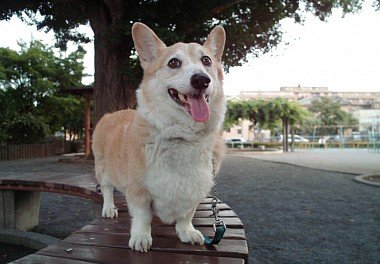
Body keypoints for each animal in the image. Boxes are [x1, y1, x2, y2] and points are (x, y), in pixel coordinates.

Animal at [92, 22, 226, 252]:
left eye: (207, 60)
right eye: (174, 62)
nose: (201, 80)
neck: (183, 136)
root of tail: (111, 113)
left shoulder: (195, 193)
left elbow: (186, 215)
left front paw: (187, 231)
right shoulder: (138, 190)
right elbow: (143, 216)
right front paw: (141, 237)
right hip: (102, 166)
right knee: (107, 188)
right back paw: (109, 208)